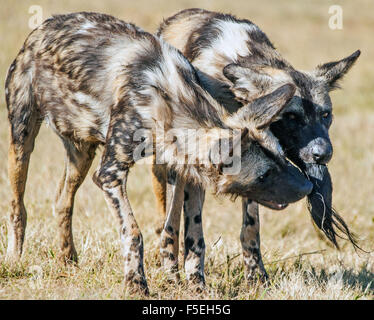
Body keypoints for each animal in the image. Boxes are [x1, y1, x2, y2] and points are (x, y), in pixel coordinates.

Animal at [5, 11, 312, 292]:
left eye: (282, 157)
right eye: (264, 174)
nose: (308, 186)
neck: (169, 102)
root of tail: (44, 26)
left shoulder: (187, 173)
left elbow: (190, 237)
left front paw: (194, 286)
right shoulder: (109, 176)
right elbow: (134, 232)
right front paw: (136, 284)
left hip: (82, 154)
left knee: (62, 201)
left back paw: (68, 259)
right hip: (22, 140)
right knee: (17, 206)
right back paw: (14, 258)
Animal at [153, 6, 360, 282]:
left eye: (325, 115)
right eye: (290, 116)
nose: (323, 154)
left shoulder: (258, 172)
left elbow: (251, 228)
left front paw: (256, 276)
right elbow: (192, 229)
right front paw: (192, 278)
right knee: (169, 219)